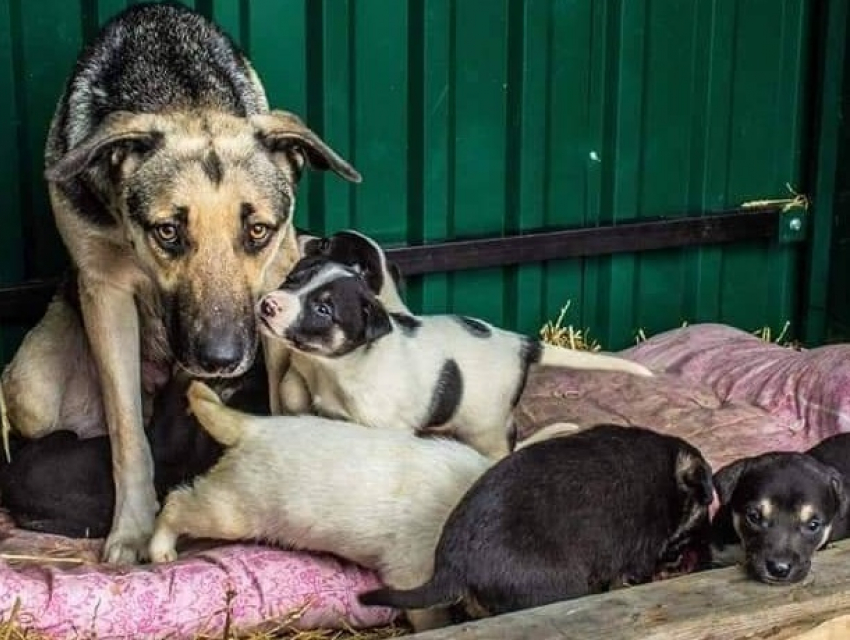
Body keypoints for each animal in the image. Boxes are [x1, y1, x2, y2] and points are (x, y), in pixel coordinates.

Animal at [149, 380, 486, 632]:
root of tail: (254, 426)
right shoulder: (410, 573)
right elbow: (431, 617)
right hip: (230, 511)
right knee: (175, 503)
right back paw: (161, 551)